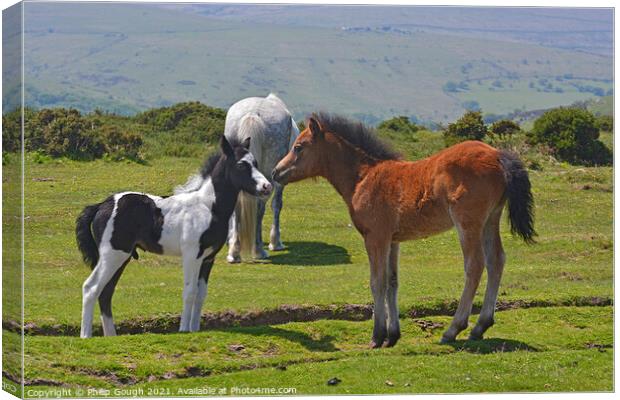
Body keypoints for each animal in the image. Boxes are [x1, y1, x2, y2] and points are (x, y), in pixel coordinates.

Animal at [224, 93, 302, 262]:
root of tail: (253, 113)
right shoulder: (279, 179)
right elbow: (277, 205)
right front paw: (276, 242)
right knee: (260, 207)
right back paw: (258, 250)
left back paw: (235, 252)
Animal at [274, 112, 536, 346]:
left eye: (298, 147)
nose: (276, 171)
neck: (363, 177)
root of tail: (498, 154)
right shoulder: (393, 240)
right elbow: (392, 281)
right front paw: (393, 336)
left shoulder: (375, 237)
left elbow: (377, 281)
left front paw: (377, 336)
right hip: (491, 219)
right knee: (496, 260)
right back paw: (480, 326)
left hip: (468, 222)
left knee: (475, 265)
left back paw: (453, 329)